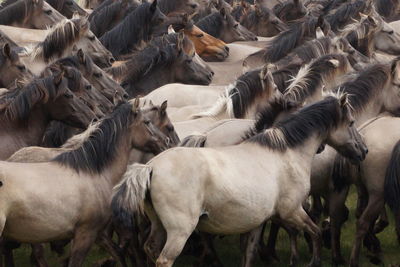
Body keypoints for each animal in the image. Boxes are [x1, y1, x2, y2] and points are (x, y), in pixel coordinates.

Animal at [0, 100, 171, 267]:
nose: (166, 142)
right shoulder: (85, 233)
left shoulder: (98, 232)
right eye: (147, 122)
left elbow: (118, 253)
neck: (93, 172)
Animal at [111, 94, 366, 267]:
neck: (286, 152)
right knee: (165, 259)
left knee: (150, 249)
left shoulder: (257, 222)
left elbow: (249, 253)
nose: (363, 151)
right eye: (351, 123)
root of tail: (150, 167)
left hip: (159, 226)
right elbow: (315, 233)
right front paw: (314, 261)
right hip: (179, 232)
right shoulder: (292, 211)